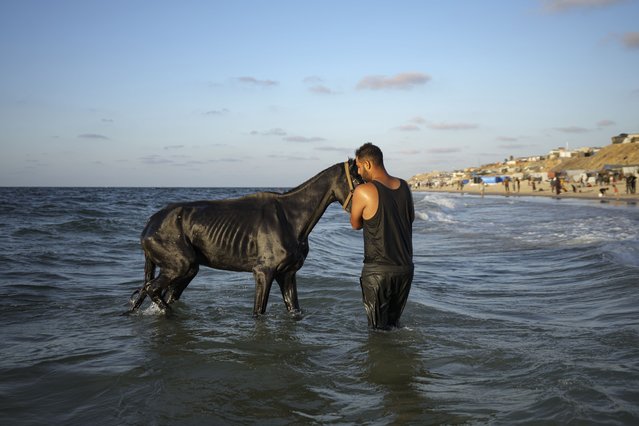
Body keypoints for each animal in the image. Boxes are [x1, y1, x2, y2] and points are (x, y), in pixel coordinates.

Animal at [127, 160, 362, 316]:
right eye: (357, 179)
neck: (291, 217)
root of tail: (150, 223)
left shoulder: (287, 275)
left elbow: (294, 310)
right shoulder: (264, 273)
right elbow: (259, 312)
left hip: (186, 270)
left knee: (162, 293)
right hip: (179, 265)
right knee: (152, 289)